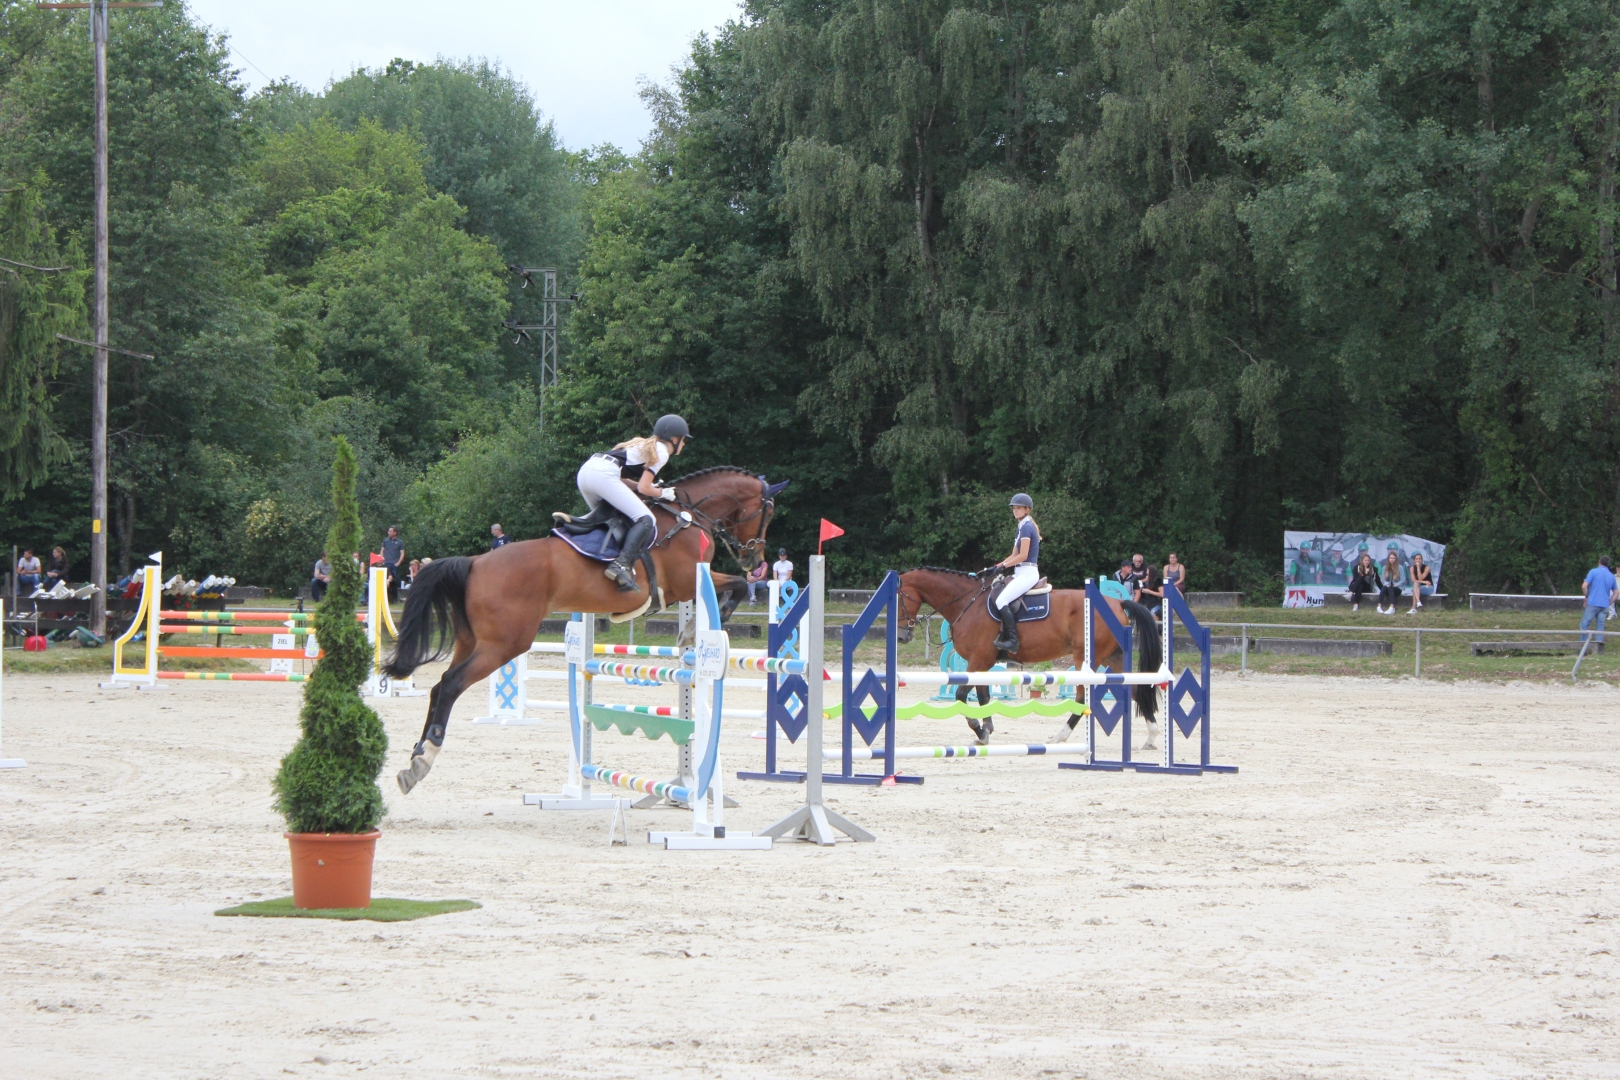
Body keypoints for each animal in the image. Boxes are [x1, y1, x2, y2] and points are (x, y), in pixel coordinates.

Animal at [383, 467, 784, 794]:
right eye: (769, 514)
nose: (756, 559)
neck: (689, 517)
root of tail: (475, 562)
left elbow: (736, 585)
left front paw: (690, 629)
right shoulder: (688, 581)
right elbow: (736, 586)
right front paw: (691, 630)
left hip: (473, 642)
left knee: (439, 687)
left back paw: (414, 760)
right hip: (504, 644)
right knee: (450, 685)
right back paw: (426, 756)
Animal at [894, 568, 1162, 747]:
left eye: (898, 599)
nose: (901, 637)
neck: (967, 603)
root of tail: (1117, 603)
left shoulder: (979, 660)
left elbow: (961, 695)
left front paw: (979, 731)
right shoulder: (981, 662)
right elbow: (983, 696)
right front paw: (986, 731)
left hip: (1086, 658)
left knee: (1082, 695)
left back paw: (1060, 735)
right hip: (1111, 657)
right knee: (1133, 688)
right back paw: (1151, 736)